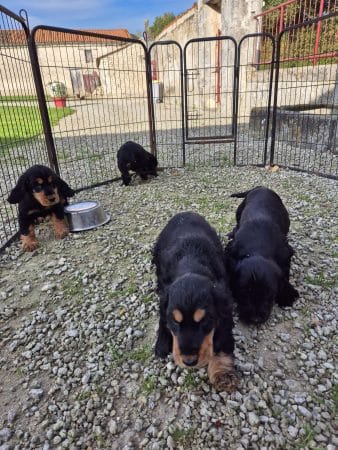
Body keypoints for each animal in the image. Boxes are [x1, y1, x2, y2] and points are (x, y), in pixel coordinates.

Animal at [153, 211, 238, 390]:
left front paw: (223, 374)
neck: (191, 264)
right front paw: (162, 343)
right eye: (175, 321)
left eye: (204, 321)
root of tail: (185, 212)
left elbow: (222, 336)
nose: (189, 361)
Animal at [226, 186, 298, 324]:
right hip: (239, 211)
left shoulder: (285, 254)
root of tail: (261, 187)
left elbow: (285, 273)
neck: (259, 249)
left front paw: (287, 294)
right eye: (244, 291)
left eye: (269, 294)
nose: (255, 319)